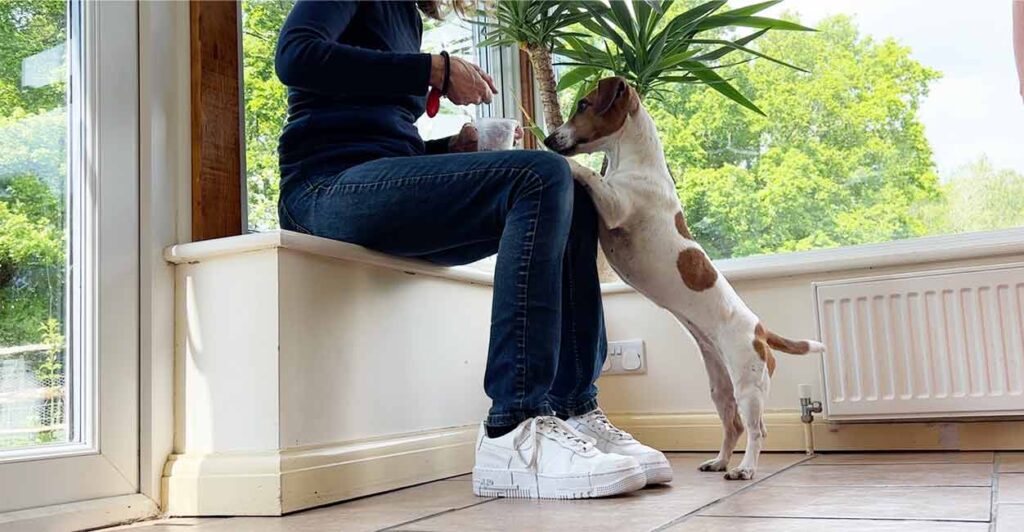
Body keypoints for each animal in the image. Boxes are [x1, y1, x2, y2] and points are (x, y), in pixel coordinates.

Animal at [544, 76, 823, 480]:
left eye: (583, 104)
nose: (549, 139)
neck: (635, 163)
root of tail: (759, 328)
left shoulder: (615, 205)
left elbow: (589, 173)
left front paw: (556, 157)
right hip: (719, 388)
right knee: (732, 425)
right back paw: (719, 461)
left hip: (748, 385)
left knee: (756, 429)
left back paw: (745, 468)